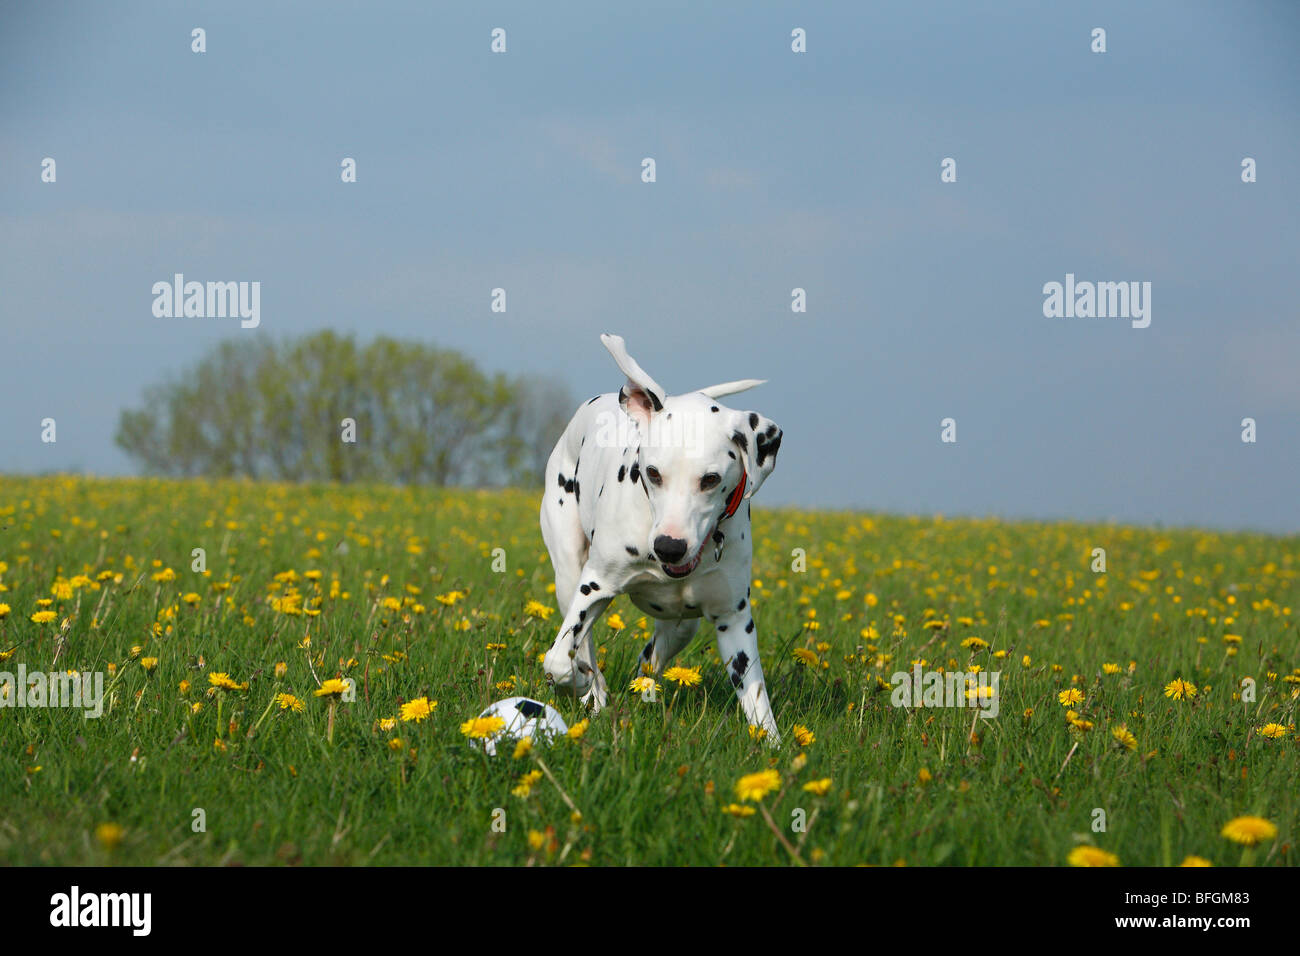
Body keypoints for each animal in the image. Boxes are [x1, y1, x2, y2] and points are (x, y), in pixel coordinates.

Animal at [538, 332, 780, 743]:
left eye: (711, 479)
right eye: (652, 472)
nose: (669, 547)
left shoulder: (734, 620)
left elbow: (758, 701)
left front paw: (774, 747)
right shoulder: (593, 587)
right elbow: (560, 659)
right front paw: (582, 685)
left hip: (682, 625)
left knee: (649, 660)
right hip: (568, 576)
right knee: (583, 648)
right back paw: (593, 691)